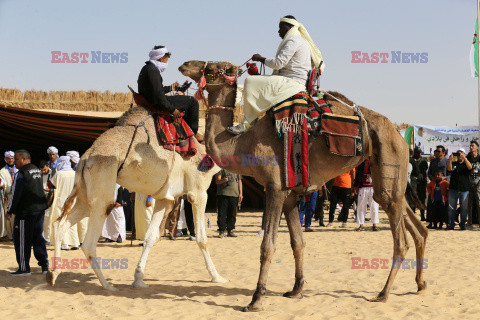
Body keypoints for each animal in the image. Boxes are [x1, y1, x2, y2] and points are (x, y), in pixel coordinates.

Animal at [46, 106, 227, 292]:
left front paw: (139, 279)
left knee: (60, 224)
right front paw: (217, 277)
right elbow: (202, 239)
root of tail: (85, 158)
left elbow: (150, 237)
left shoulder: (163, 198)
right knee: (88, 243)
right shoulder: (198, 191)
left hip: (85, 197)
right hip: (101, 194)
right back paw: (107, 285)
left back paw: (53, 274)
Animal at [179, 59, 428, 310]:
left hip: (388, 158)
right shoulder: (289, 194)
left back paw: (383, 293)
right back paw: (420, 283)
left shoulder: (275, 188)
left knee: (400, 239)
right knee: (415, 224)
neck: (244, 143)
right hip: (390, 174)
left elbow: (268, 246)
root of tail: (398, 133)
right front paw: (296, 289)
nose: (185, 65)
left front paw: (257, 298)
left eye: (213, 69)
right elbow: (297, 242)